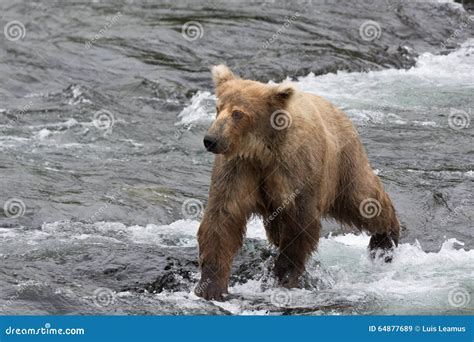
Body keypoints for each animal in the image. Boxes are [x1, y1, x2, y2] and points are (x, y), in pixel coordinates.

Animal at [195, 64, 400, 300]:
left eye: (238, 113)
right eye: (218, 107)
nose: (210, 140)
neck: (261, 151)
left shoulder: (295, 168)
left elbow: (300, 222)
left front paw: (283, 276)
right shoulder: (239, 168)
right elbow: (223, 216)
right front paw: (211, 285)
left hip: (344, 162)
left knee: (363, 199)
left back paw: (385, 241)